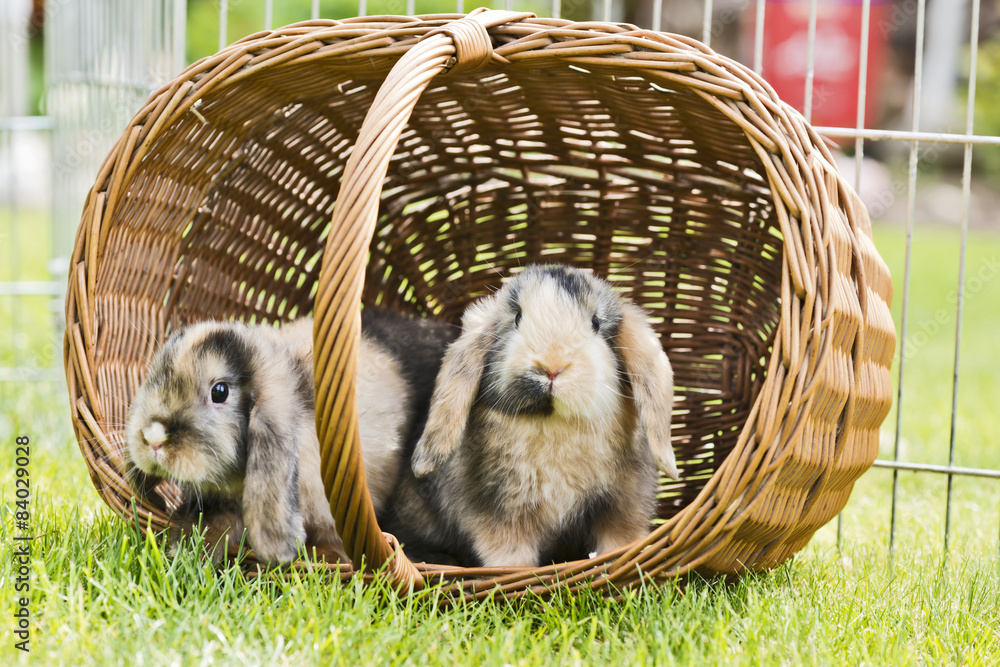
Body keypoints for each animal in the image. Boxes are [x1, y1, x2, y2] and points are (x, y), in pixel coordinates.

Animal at [381, 264, 677, 568]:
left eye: (595, 322)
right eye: (517, 317)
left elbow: (619, 544)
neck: (553, 423)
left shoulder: (623, 508)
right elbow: (510, 558)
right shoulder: (500, 517)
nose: (551, 365)